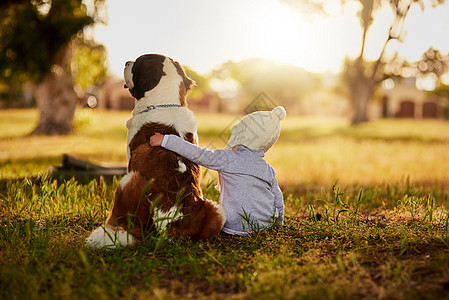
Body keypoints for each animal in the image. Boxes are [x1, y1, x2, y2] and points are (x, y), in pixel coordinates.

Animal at [85, 54, 224, 248]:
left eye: (136, 63)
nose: (127, 62)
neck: (165, 104)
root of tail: (172, 226)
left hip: (128, 180)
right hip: (217, 210)